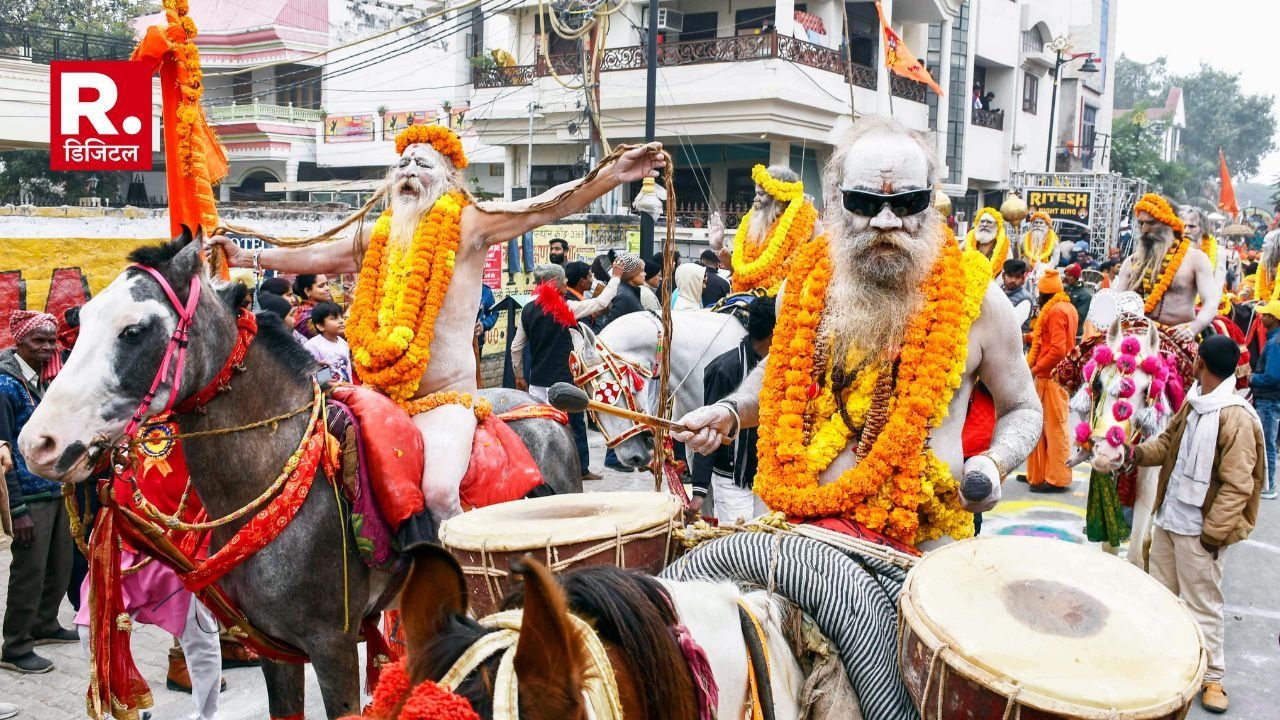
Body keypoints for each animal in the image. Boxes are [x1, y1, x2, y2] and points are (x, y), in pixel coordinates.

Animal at [15, 230, 583, 717]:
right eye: (80, 320)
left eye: (134, 330)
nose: (37, 443)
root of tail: (544, 408)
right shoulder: (276, 647)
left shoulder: (333, 647)